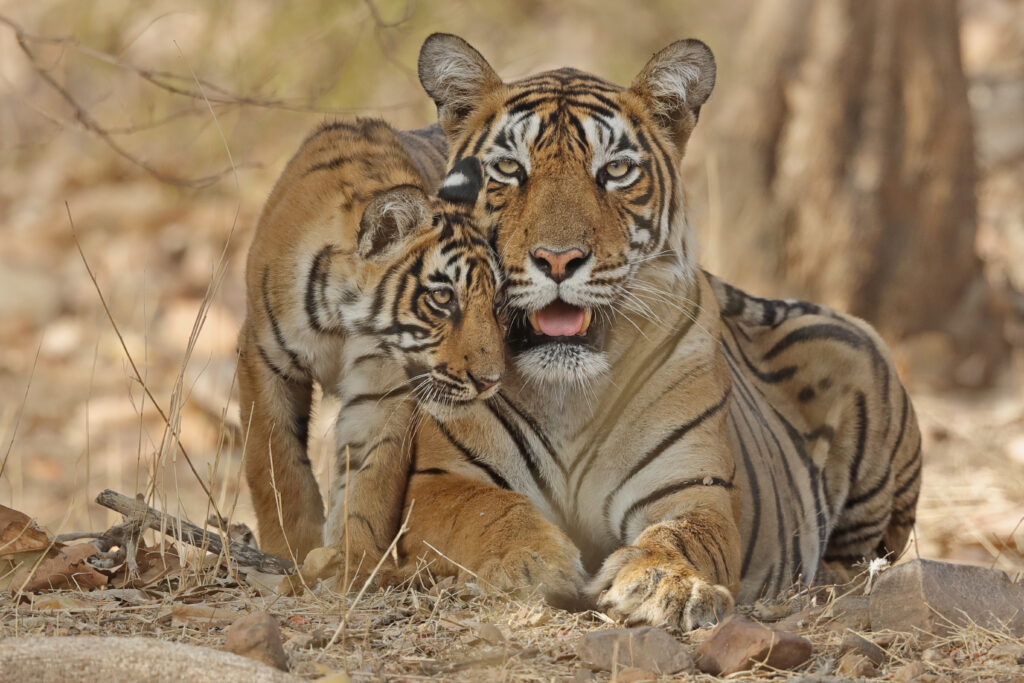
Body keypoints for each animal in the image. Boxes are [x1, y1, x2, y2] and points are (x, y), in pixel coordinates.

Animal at [240, 116, 512, 565]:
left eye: (498, 303)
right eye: (443, 298)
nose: (490, 381)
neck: (341, 321)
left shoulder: (384, 386)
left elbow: (371, 480)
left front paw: (354, 561)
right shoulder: (264, 359)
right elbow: (275, 463)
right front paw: (290, 550)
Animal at [364, 33, 925, 630]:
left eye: (615, 171)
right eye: (509, 168)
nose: (558, 259)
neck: (569, 396)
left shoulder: (692, 486)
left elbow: (683, 535)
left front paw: (663, 584)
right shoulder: (440, 482)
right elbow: (487, 512)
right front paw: (531, 563)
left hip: (860, 357)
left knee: (863, 558)